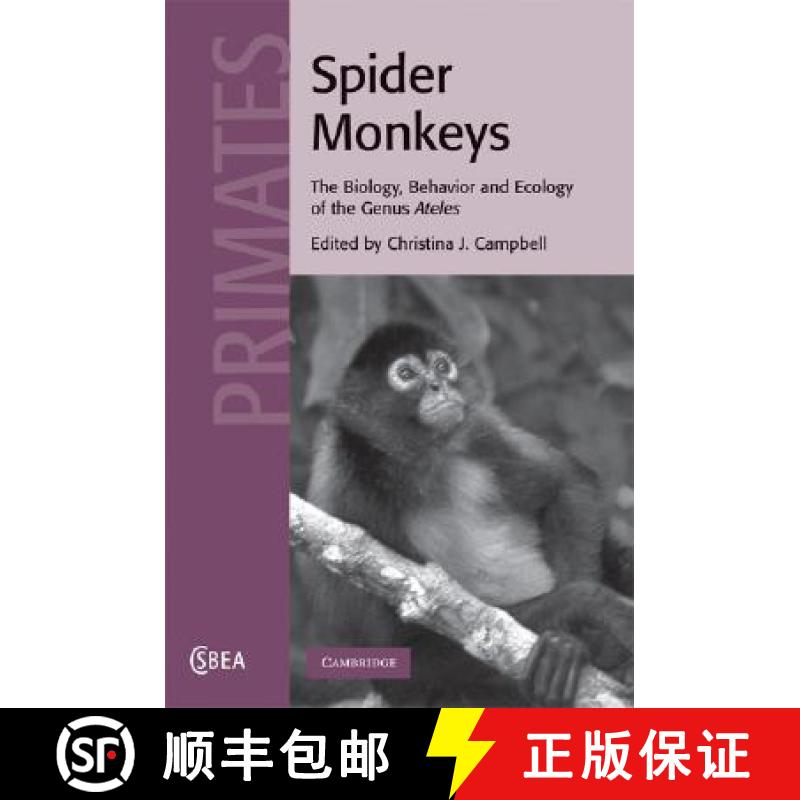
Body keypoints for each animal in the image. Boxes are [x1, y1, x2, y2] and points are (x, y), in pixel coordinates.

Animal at [294, 321, 633, 707]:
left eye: (442, 366)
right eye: (406, 374)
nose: (438, 386)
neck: (417, 467)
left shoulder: (478, 431)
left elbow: (570, 484)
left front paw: (575, 641)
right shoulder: (349, 497)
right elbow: (407, 665)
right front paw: (583, 616)